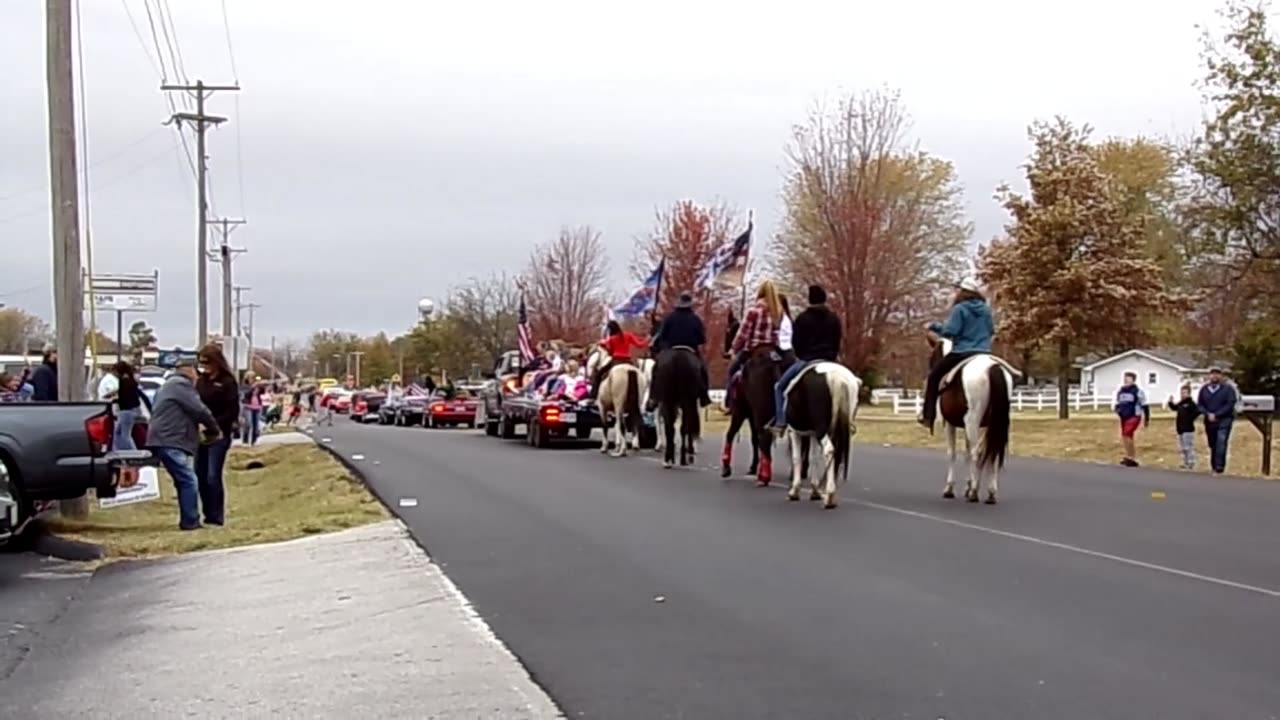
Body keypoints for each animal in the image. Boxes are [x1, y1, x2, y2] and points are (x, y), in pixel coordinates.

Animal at [778, 361, 860, 507]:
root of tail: (836, 376)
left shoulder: (794, 432)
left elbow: (796, 458)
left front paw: (794, 491)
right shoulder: (813, 434)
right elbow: (813, 458)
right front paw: (815, 491)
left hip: (821, 430)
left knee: (829, 450)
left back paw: (830, 496)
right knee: (836, 454)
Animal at [926, 338, 1013, 502]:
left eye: (931, 356)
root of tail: (992, 367)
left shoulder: (949, 424)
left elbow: (952, 453)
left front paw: (950, 488)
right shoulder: (976, 426)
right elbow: (968, 453)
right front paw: (968, 485)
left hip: (973, 421)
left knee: (976, 454)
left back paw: (974, 492)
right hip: (994, 424)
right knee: (991, 453)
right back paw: (990, 492)